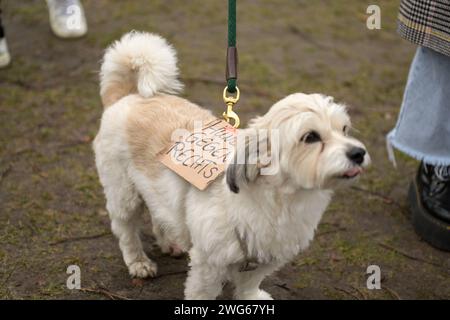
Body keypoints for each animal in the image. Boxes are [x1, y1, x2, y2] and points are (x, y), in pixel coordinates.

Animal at [94, 31, 370, 298]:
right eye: (310, 137)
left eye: (344, 129)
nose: (358, 153)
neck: (281, 202)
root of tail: (128, 97)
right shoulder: (208, 264)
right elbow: (203, 293)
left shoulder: (264, 258)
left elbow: (249, 282)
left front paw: (251, 298)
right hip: (123, 195)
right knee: (125, 229)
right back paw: (138, 262)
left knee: (158, 212)